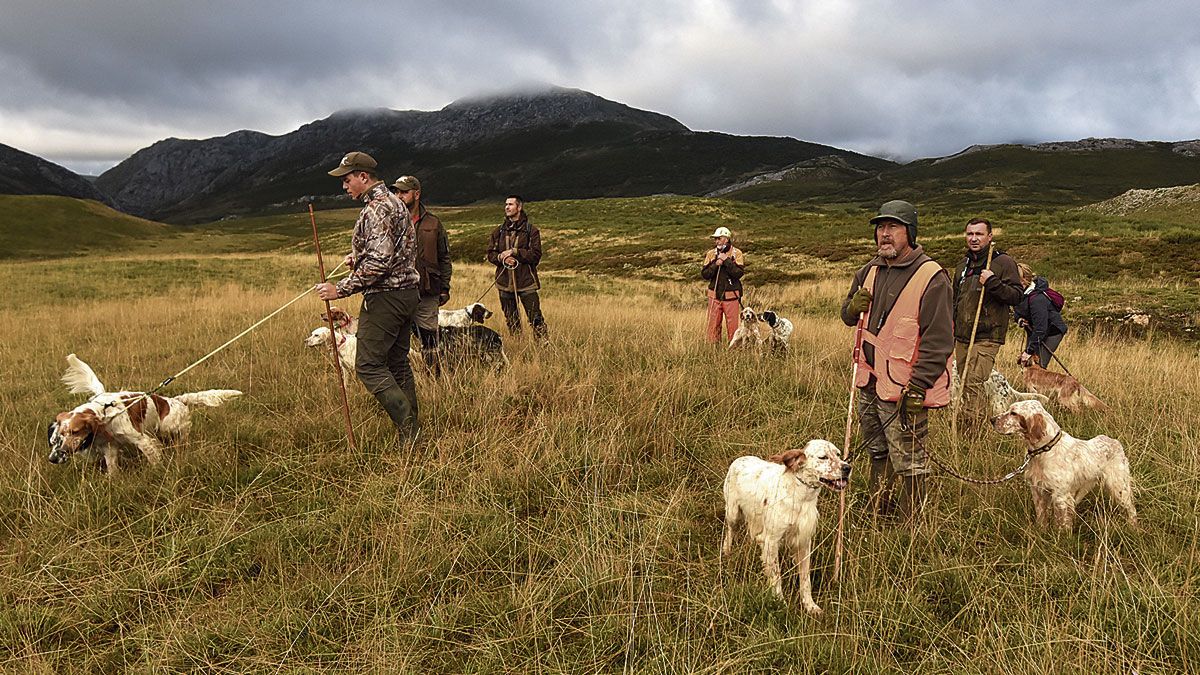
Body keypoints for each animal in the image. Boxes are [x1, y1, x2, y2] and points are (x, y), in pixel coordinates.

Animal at [49, 353, 241, 473]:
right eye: (61, 434)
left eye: (75, 432)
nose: (61, 452)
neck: (105, 413)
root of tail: (178, 400)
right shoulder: (110, 447)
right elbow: (112, 469)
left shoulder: (142, 440)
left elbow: (153, 458)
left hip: (170, 428)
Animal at [720, 439, 854, 612]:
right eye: (823, 457)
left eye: (838, 454)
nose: (847, 467)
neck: (801, 496)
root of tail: (739, 459)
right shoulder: (772, 541)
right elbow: (776, 576)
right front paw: (780, 602)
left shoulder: (804, 542)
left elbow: (805, 578)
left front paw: (810, 605)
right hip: (733, 514)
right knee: (730, 531)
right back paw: (726, 551)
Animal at [993, 398, 1132, 530]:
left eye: (1013, 413)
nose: (992, 419)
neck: (1044, 450)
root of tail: (1115, 442)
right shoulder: (1038, 492)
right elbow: (1042, 519)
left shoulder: (1061, 496)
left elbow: (1062, 525)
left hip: (1119, 488)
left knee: (1132, 511)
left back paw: (1133, 527)